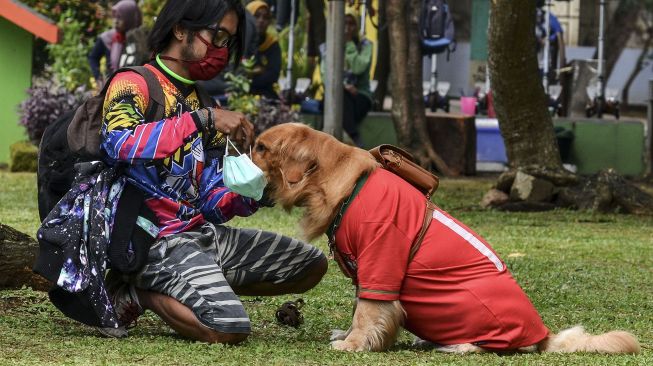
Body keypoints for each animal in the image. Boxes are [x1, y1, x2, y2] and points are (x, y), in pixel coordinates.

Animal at [252, 123, 640, 354]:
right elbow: (366, 307)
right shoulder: (366, 269)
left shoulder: (382, 252)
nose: (242, 147)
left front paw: (355, 343)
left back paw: (458, 345)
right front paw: (350, 336)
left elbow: (368, 309)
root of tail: (542, 334)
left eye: (260, 147)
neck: (345, 187)